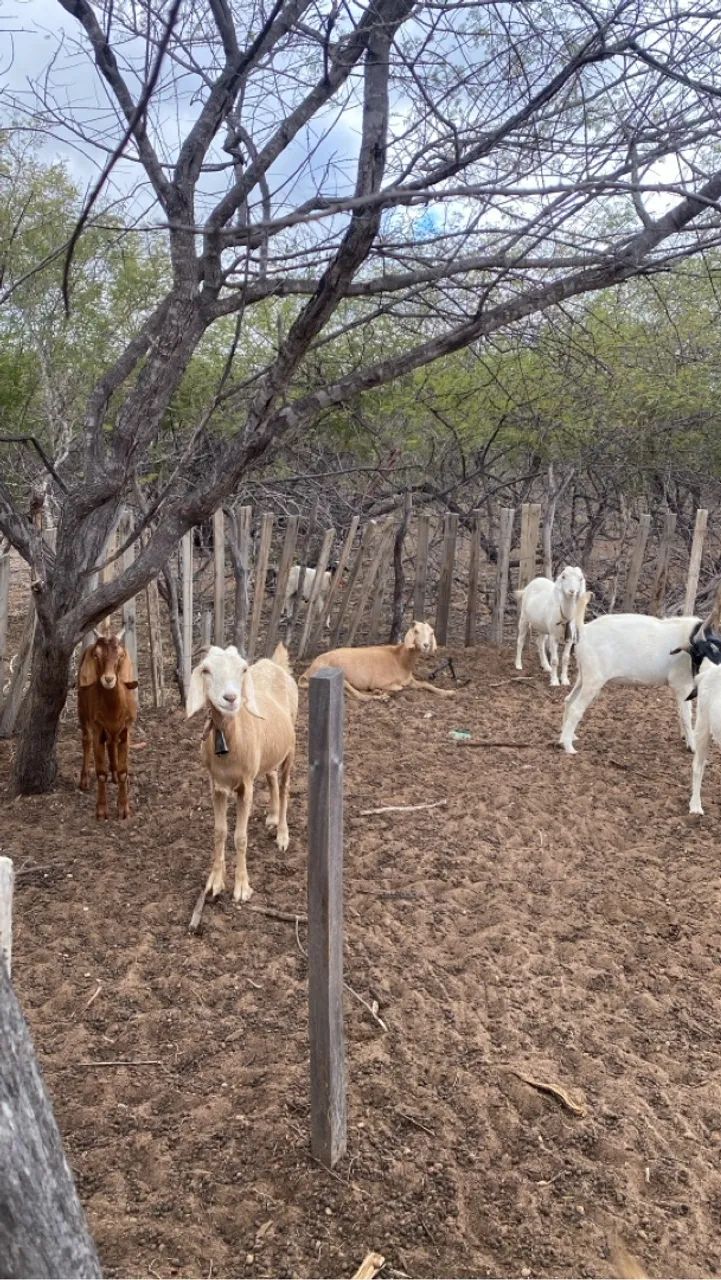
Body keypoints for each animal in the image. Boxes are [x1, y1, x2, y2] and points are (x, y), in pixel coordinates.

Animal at [78, 629, 138, 819]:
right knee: (86, 739)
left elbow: (124, 771)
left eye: (120, 655)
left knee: (111, 743)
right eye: (96, 655)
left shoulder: (126, 729)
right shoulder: (98, 727)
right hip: (82, 710)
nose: (109, 679)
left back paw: (114, 772)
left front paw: (124, 809)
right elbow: (100, 773)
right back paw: (84, 780)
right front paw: (101, 810)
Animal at [186, 642, 297, 903]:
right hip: (268, 753)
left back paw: (282, 835)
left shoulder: (246, 786)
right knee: (271, 777)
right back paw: (272, 816)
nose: (230, 698)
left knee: (285, 787)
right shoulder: (216, 785)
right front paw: (215, 882)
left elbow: (240, 837)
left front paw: (242, 887)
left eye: (243, 669)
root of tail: (274, 663)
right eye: (206, 670)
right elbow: (219, 832)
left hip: (291, 746)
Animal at [300, 620, 454, 701]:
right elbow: (399, 687)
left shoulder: (410, 680)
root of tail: (308, 670)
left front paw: (447, 692)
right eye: (416, 631)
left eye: (431, 632)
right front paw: (381, 690)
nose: (426, 645)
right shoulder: (382, 681)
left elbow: (426, 684)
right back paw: (380, 696)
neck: (400, 659)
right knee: (360, 696)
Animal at [559, 613, 700, 754]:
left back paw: (564, 739)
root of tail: (584, 631)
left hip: (583, 676)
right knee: (576, 708)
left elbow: (681, 712)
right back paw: (569, 747)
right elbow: (686, 715)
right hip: (594, 679)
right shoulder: (682, 684)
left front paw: (685, 738)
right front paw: (692, 746)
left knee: (568, 700)